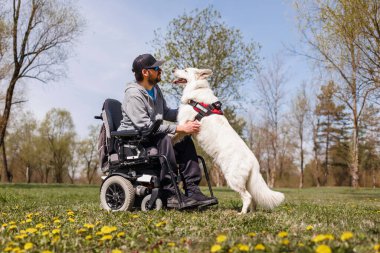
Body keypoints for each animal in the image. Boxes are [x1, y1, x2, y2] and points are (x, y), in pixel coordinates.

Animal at [174, 67, 284, 213]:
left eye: (185, 70)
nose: (173, 69)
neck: (197, 89)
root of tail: (255, 164)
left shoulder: (183, 124)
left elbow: (172, 134)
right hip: (245, 182)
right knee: (253, 198)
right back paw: (251, 213)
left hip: (233, 179)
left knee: (248, 197)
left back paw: (242, 213)